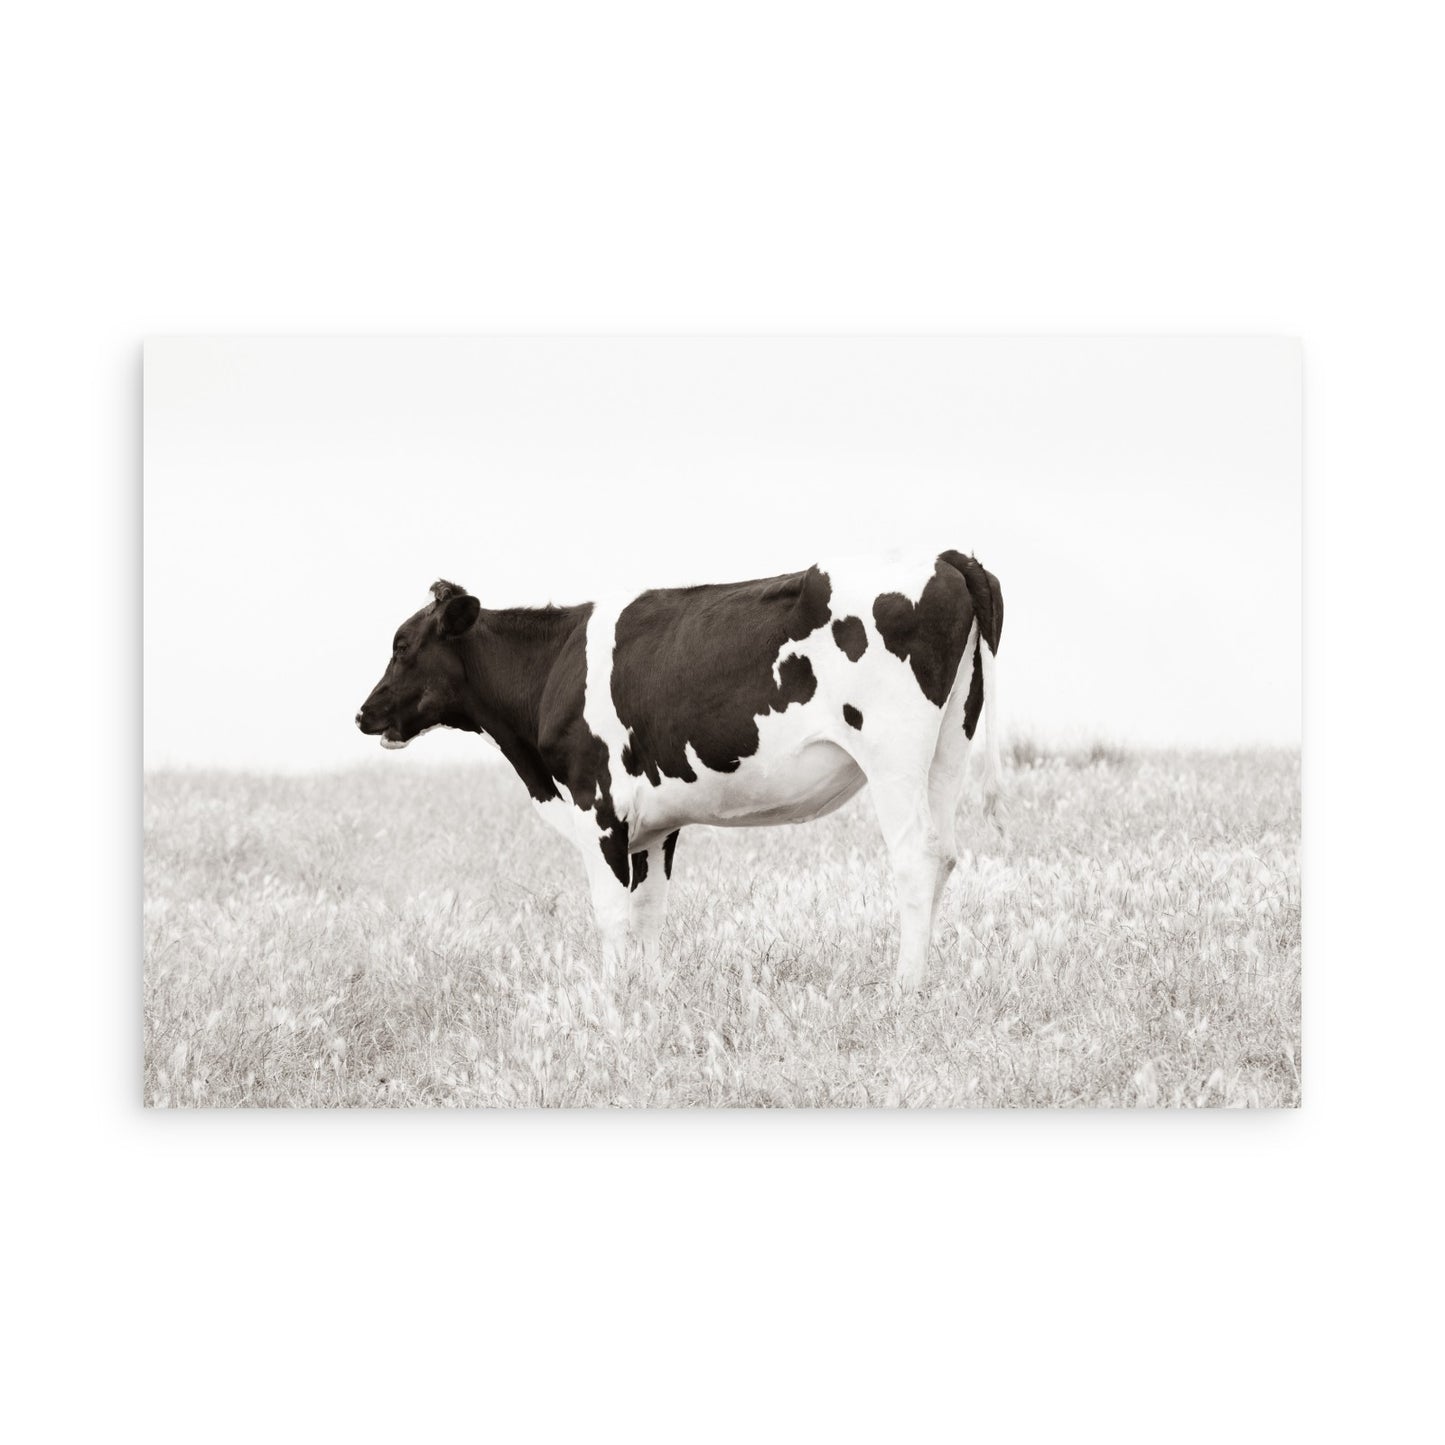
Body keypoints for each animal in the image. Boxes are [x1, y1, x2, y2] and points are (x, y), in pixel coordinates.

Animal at [355, 551, 1003, 986]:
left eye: (403, 645)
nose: (363, 713)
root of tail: (946, 558)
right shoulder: (654, 824)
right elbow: (648, 914)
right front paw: (648, 998)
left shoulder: (598, 804)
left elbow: (612, 914)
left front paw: (611, 1002)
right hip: (949, 745)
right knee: (945, 852)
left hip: (893, 752)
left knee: (916, 856)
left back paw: (905, 987)